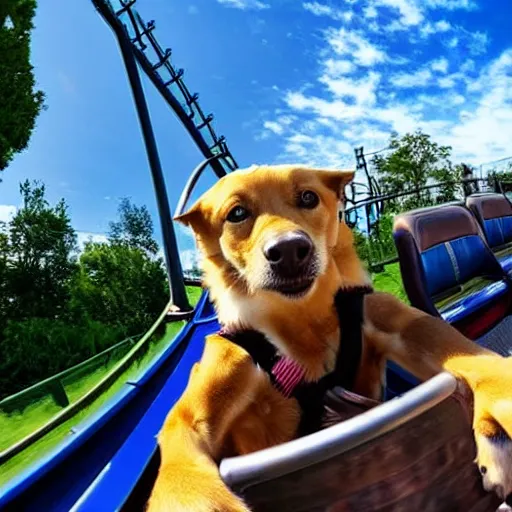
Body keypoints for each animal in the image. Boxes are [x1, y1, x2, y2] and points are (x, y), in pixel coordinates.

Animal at [145, 166, 512, 510]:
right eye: (236, 213)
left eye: (308, 197)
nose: (289, 249)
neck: (300, 320)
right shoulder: (200, 405)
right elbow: (178, 446)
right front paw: (194, 498)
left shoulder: (400, 324)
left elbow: (461, 352)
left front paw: (497, 407)